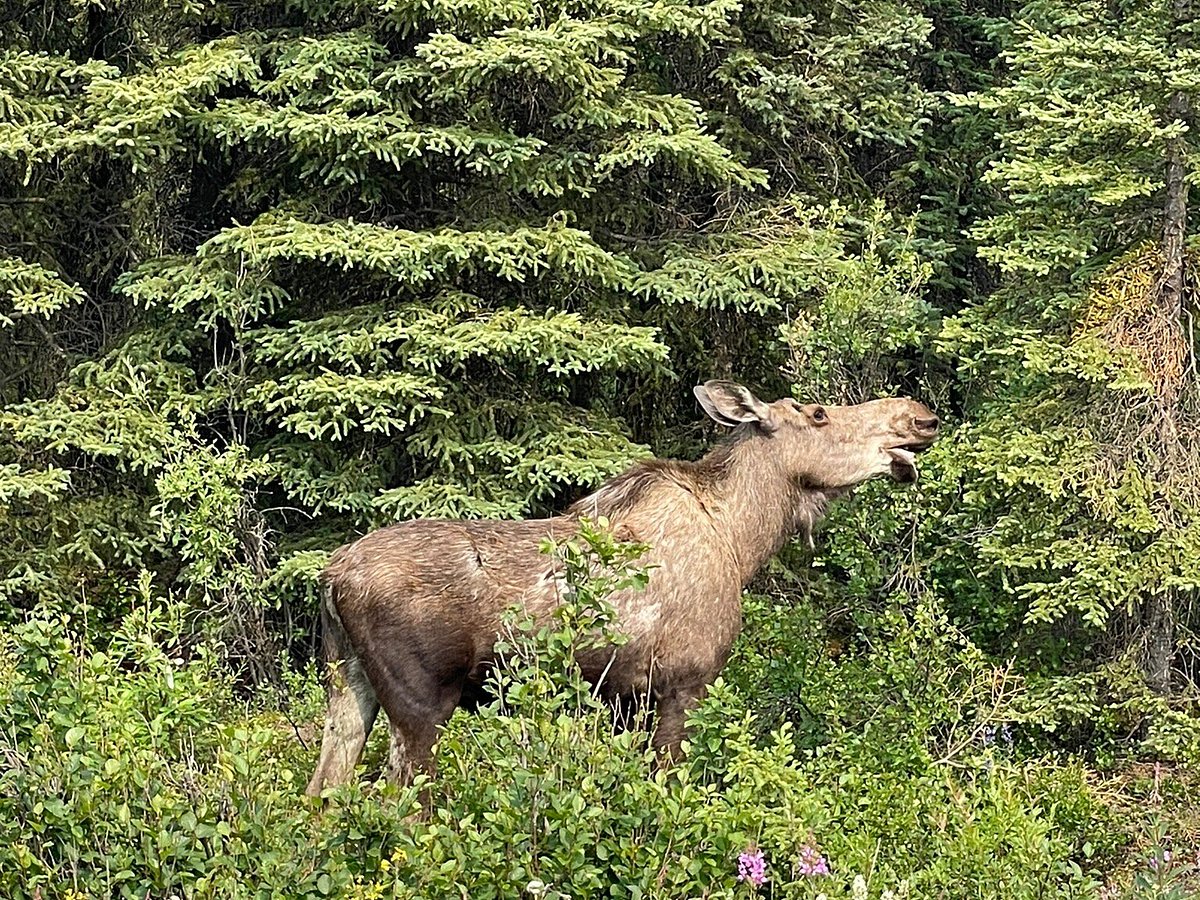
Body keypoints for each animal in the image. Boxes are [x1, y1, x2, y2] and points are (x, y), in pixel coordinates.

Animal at [304, 381, 940, 796]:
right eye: (818, 413)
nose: (920, 416)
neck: (743, 540)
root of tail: (332, 578)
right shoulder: (684, 682)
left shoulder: (622, 699)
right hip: (422, 699)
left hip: (348, 683)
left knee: (322, 794)